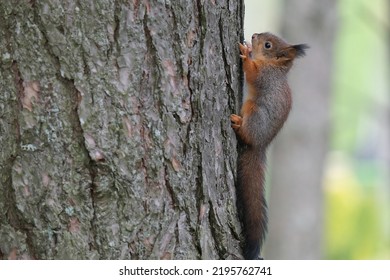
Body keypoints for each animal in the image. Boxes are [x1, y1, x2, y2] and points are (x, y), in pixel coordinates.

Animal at [230, 32, 310, 260]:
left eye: (268, 45)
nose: (253, 35)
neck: (273, 67)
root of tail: (261, 145)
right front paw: (248, 48)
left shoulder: (265, 76)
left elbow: (253, 74)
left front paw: (246, 54)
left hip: (255, 112)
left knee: (247, 133)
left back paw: (238, 124)